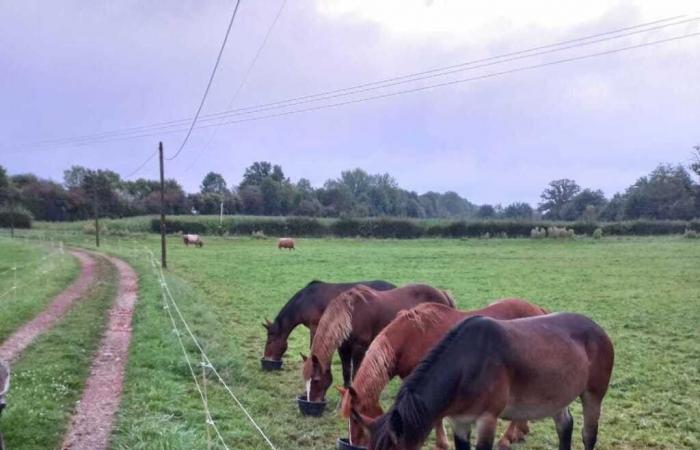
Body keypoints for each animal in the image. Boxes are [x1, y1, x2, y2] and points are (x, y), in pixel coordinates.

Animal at [300, 284, 454, 402]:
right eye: (305, 380)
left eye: (316, 380)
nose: (311, 401)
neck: (351, 314)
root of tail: (443, 294)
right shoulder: (343, 348)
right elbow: (346, 373)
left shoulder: (359, 348)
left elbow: (355, 373)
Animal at [340, 298, 548, 450]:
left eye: (355, 418)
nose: (353, 444)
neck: (409, 338)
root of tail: (538, 310)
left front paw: (442, 443)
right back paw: (520, 431)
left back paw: (507, 438)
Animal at [356, 312, 612, 450]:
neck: (466, 366)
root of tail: (597, 328)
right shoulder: (458, 421)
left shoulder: (487, 419)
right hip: (558, 395)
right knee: (565, 427)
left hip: (593, 395)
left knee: (588, 435)